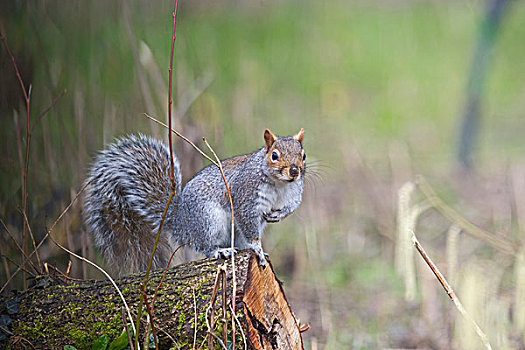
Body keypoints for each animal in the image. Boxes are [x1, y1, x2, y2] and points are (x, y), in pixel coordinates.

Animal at [81, 127, 302, 274]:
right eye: (274, 155)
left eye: (304, 155)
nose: (294, 171)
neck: (279, 184)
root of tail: (179, 221)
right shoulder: (245, 195)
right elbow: (247, 221)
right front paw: (257, 248)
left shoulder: (294, 193)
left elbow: (291, 207)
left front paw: (278, 216)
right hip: (208, 221)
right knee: (204, 246)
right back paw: (220, 250)